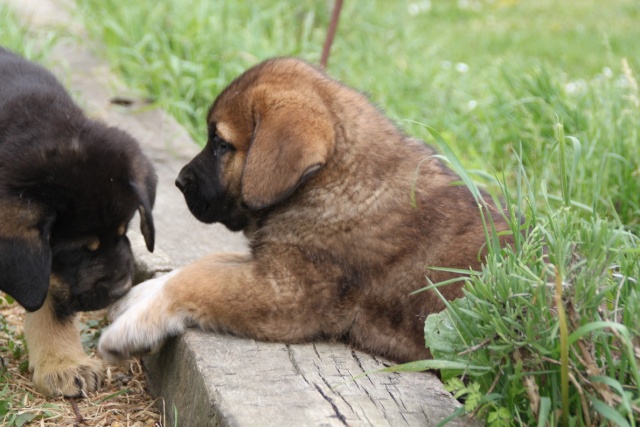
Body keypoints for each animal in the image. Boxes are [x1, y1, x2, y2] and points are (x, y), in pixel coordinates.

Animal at [0, 46, 155, 398]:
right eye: (79, 250)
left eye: (124, 231)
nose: (121, 289)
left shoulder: (49, 272)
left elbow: (52, 305)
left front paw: (63, 365)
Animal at [99, 56, 510, 364]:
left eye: (220, 144)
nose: (179, 181)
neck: (331, 179)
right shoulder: (274, 261)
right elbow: (207, 262)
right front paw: (142, 293)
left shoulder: (287, 293)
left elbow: (201, 279)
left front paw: (134, 324)